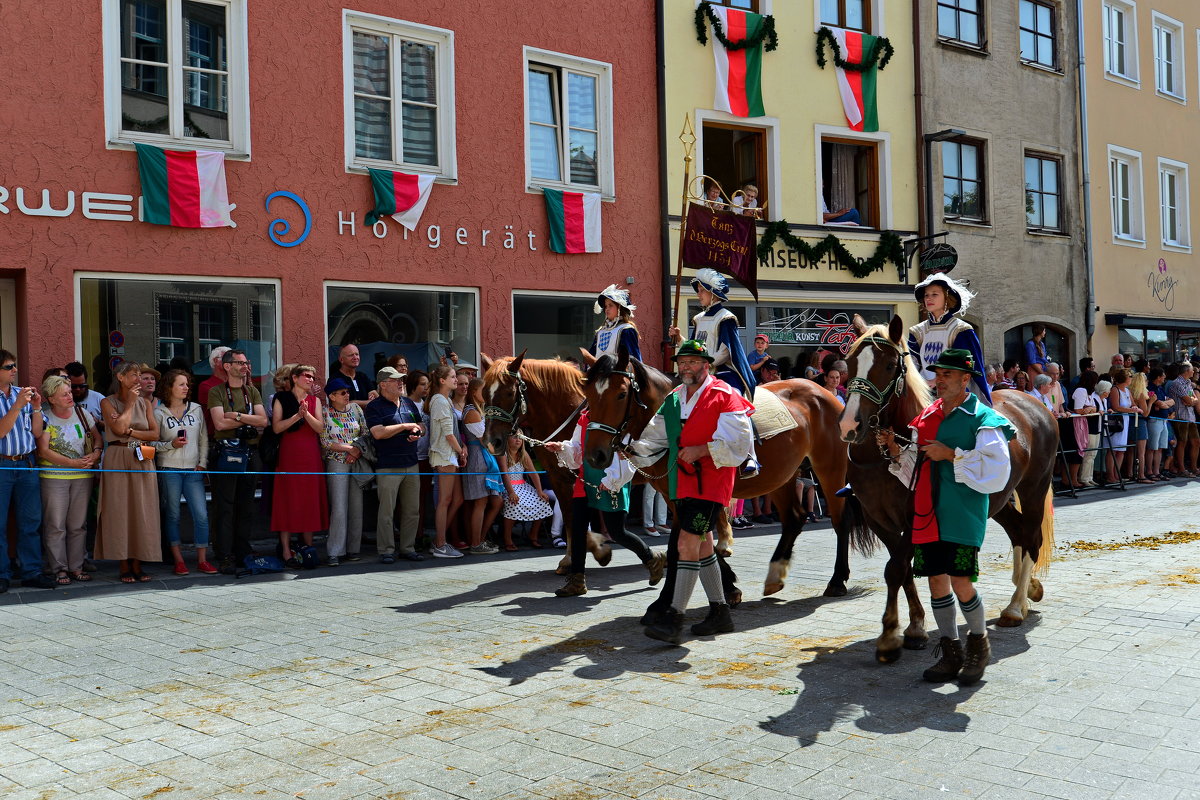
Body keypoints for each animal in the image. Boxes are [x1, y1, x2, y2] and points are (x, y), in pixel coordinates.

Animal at [835, 316, 1060, 666]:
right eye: (850, 363)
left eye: (889, 365)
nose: (850, 426)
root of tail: (1035, 403)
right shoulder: (878, 519)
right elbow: (902, 570)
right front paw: (914, 628)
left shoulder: (915, 517)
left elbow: (895, 569)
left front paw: (889, 638)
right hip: (996, 500)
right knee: (1019, 532)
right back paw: (1026, 595)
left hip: (1034, 488)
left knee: (1032, 537)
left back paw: (1014, 607)